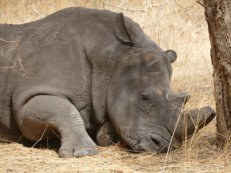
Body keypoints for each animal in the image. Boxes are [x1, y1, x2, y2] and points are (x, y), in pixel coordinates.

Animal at [0, 7, 216, 157]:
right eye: (144, 97)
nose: (162, 146)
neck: (110, 59)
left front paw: (106, 136)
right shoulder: (29, 96)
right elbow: (64, 110)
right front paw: (84, 152)